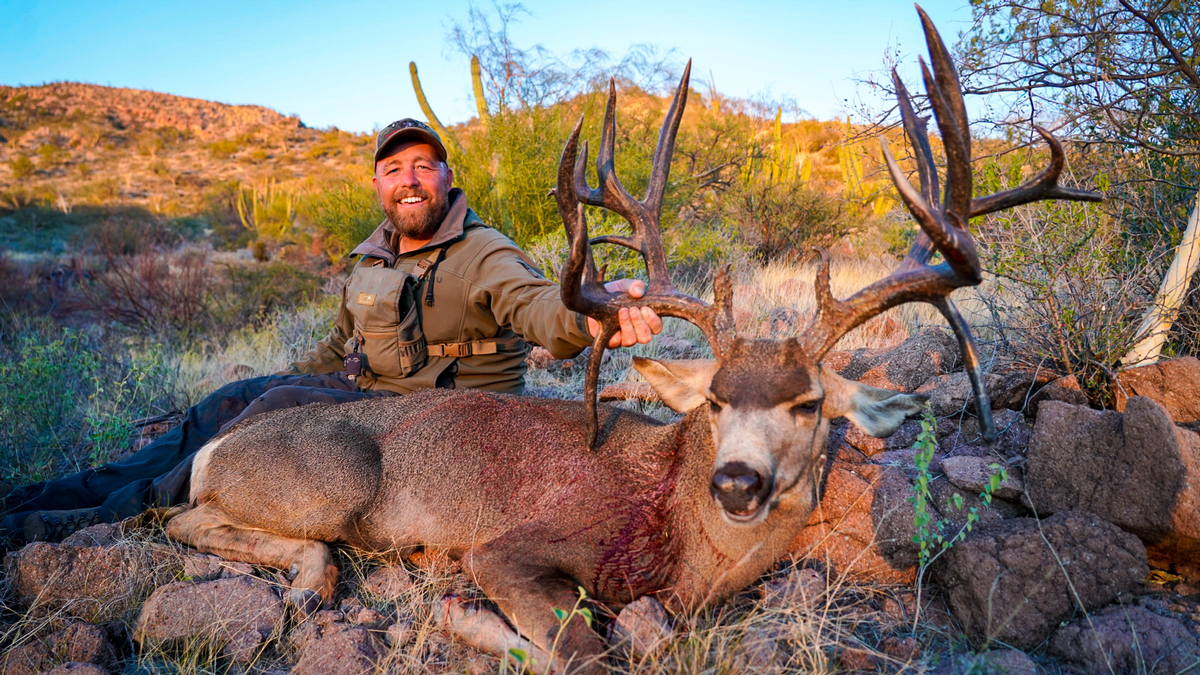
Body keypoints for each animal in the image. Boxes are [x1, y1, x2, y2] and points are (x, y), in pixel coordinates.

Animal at [162, 9, 1101, 674]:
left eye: (808, 403)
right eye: (715, 398)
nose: (736, 480)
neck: (682, 544)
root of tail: (213, 445)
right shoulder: (512, 544)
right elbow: (589, 652)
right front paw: (465, 612)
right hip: (331, 486)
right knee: (192, 516)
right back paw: (307, 577)